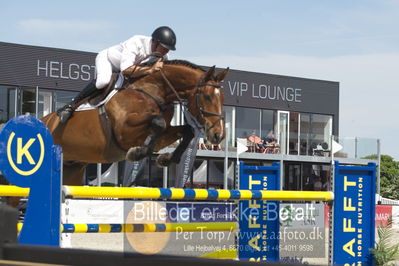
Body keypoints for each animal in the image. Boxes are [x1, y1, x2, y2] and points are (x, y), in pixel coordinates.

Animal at [41, 59, 228, 186]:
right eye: (207, 96)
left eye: (223, 99)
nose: (218, 135)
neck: (154, 91)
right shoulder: (123, 131)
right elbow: (158, 122)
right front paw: (137, 153)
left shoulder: (162, 136)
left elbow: (186, 131)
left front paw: (166, 159)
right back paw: (65, 111)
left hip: (73, 169)